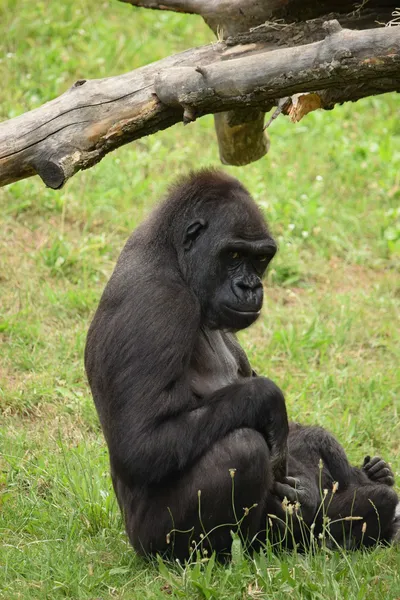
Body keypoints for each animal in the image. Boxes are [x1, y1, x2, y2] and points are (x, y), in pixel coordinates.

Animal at [84, 168, 396, 556]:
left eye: (260, 259)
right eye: (233, 255)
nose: (250, 286)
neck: (169, 253)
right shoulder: (160, 303)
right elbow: (141, 444)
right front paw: (268, 398)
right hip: (151, 542)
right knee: (242, 448)